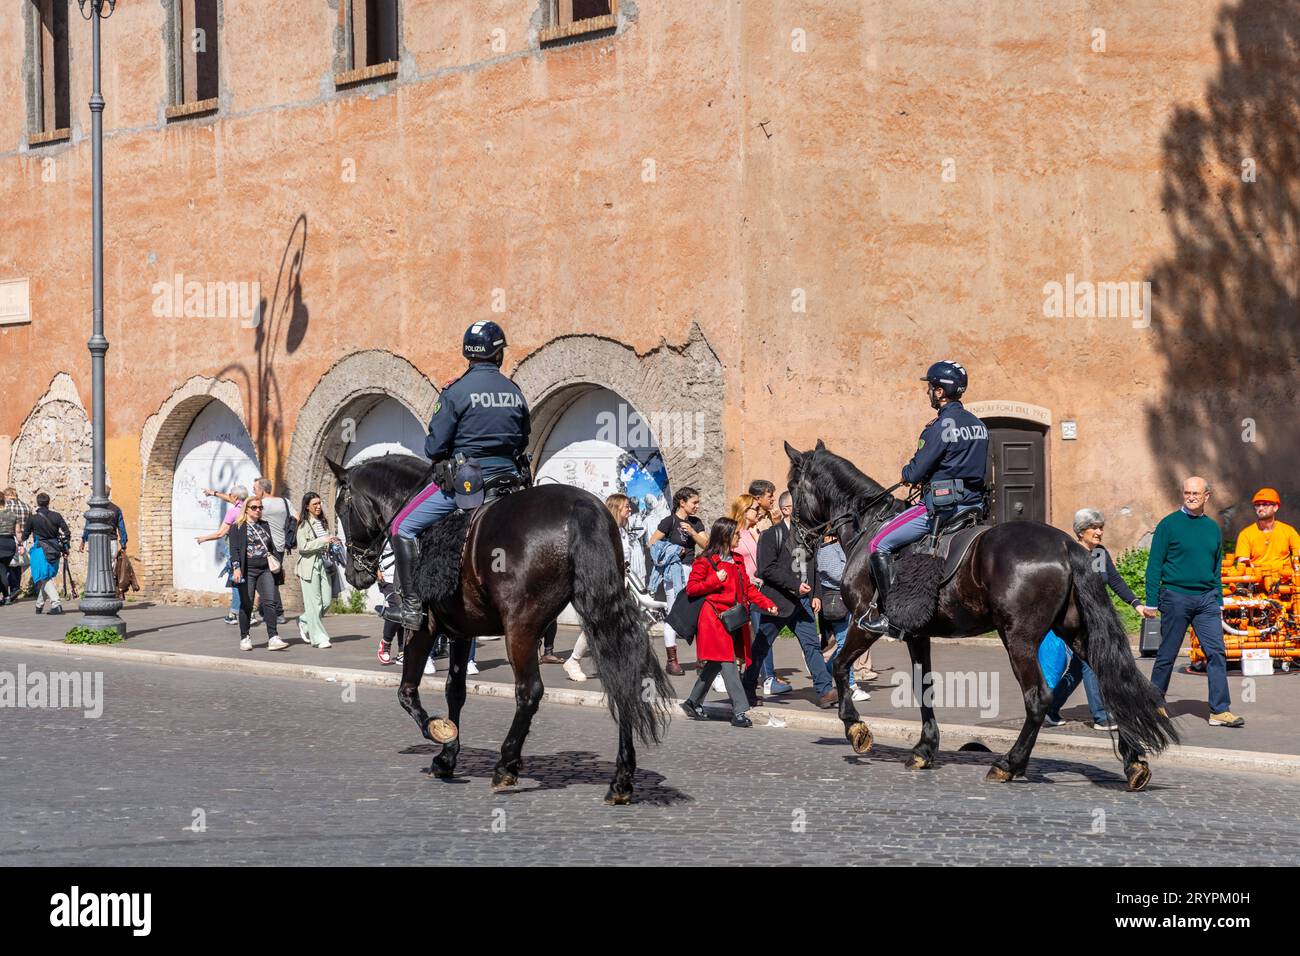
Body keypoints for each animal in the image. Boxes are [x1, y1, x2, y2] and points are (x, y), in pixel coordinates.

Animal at [327, 452, 670, 806]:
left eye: (341, 509)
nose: (354, 574)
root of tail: (580, 507)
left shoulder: (424, 626)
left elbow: (406, 692)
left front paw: (437, 731)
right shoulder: (461, 631)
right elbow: (455, 691)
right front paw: (447, 756)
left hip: (521, 627)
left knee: (530, 691)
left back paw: (506, 764)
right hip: (597, 615)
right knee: (622, 680)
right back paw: (621, 780)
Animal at [780, 442, 1180, 790]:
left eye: (792, 486)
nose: (795, 541)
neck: (868, 528)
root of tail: (1068, 545)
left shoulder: (865, 623)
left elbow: (839, 666)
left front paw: (856, 730)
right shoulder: (917, 634)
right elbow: (924, 687)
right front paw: (924, 750)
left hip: (1019, 638)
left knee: (1039, 698)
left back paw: (1009, 764)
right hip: (1076, 632)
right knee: (1111, 686)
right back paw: (1134, 763)